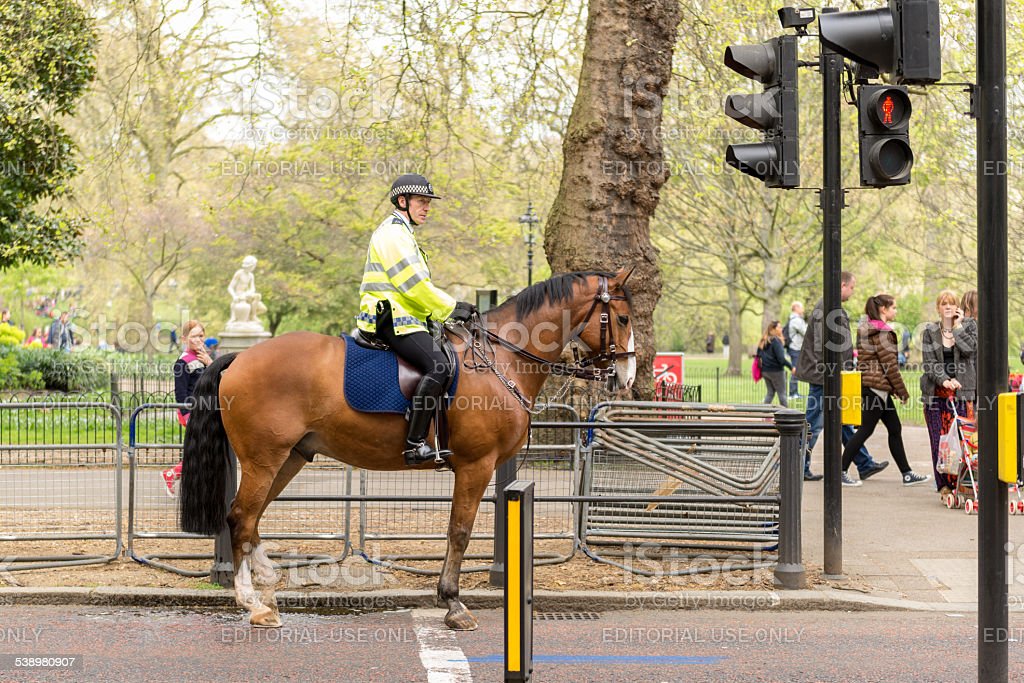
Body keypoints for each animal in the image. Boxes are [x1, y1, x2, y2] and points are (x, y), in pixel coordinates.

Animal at [180, 268, 634, 630]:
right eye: (624, 317)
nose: (625, 376)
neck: (499, 359)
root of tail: (238, 358)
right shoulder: (476, 466)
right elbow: (459, 531)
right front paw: (452, 603)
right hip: (264, 460)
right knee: (241, 518)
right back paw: (252, 603)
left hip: (288, 459)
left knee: (252, 520)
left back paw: (268, 593)